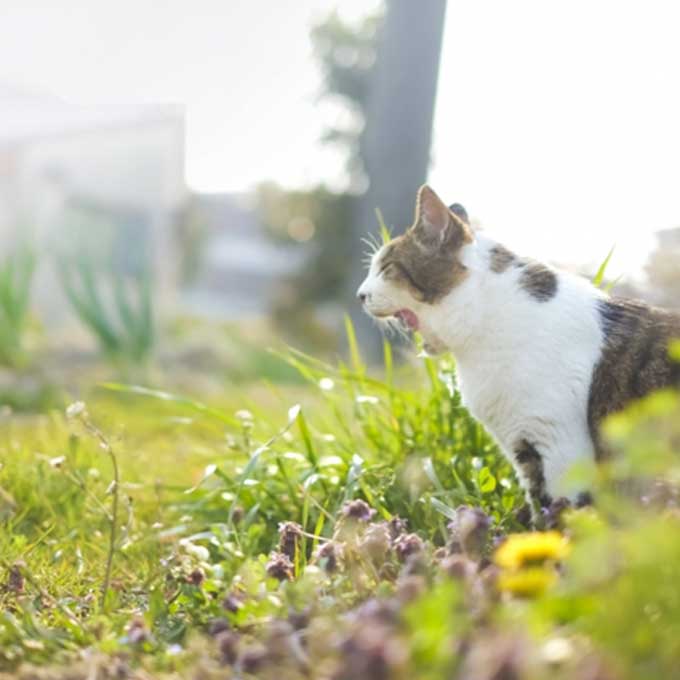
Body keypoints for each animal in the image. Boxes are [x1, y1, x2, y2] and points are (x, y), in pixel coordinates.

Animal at [356, 185, 680, 510]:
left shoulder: (557, 446)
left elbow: (562, 513)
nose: (360, 295)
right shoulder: (524, 446)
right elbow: (539, 504)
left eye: (386, 267)